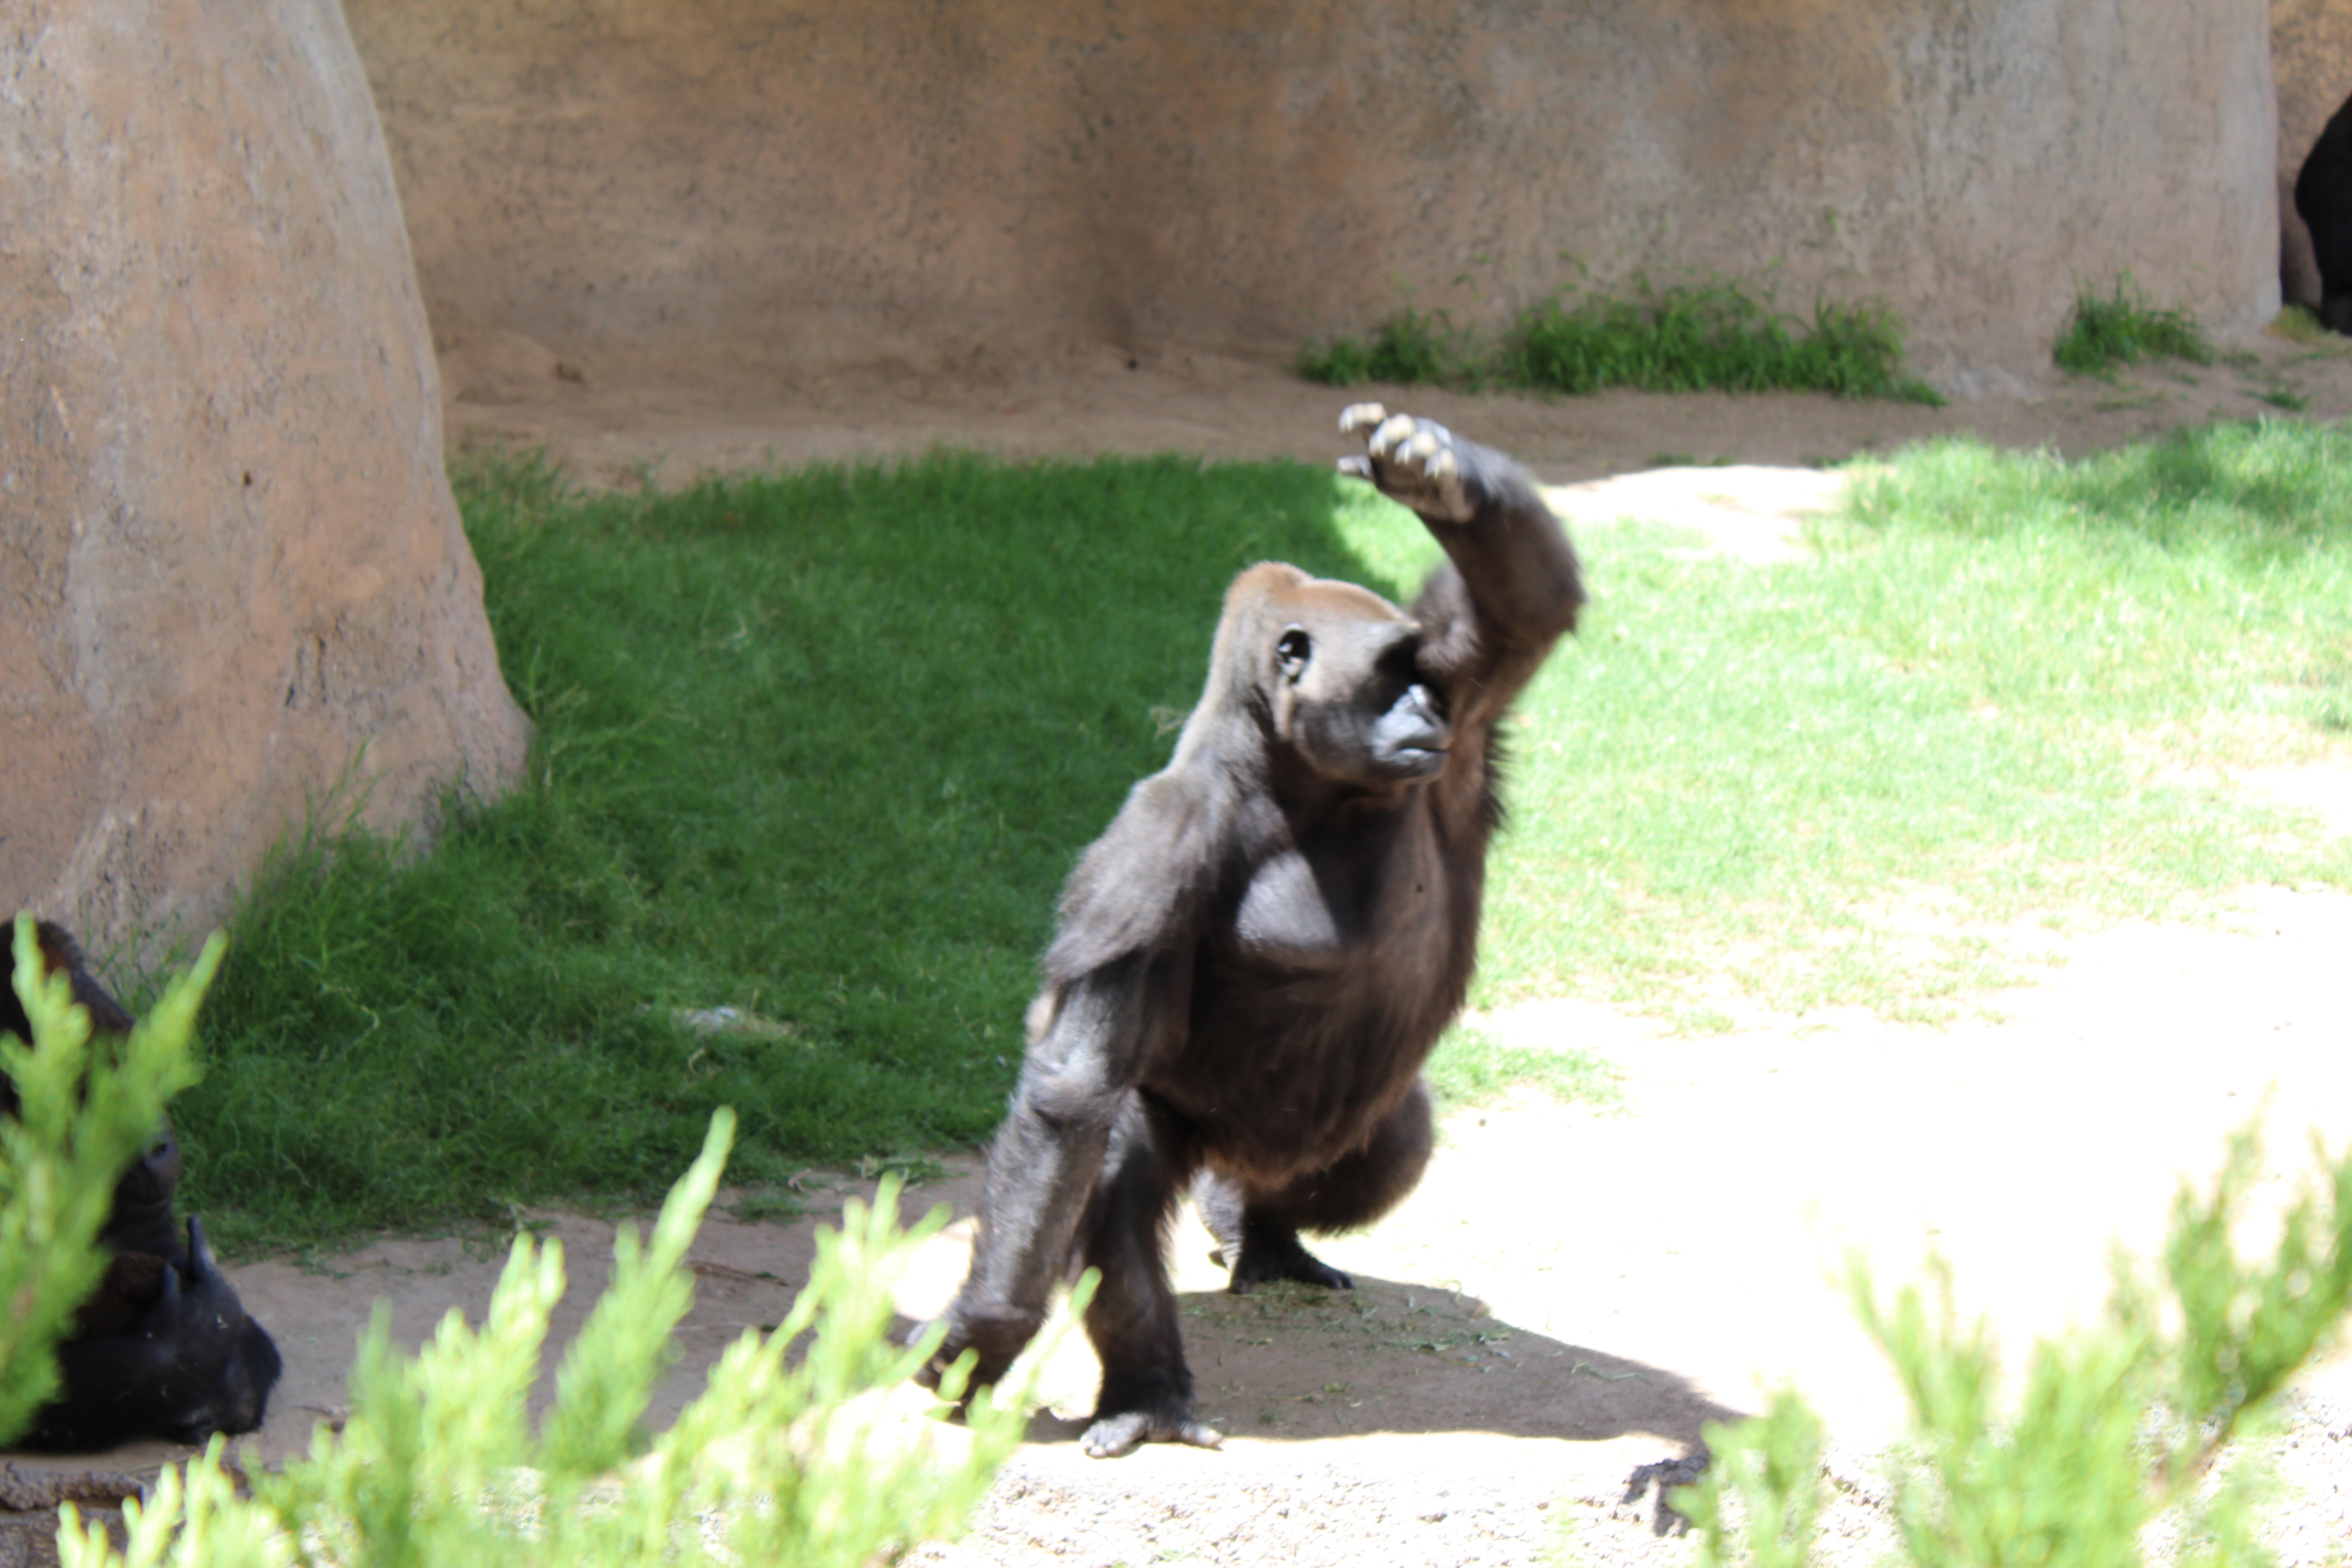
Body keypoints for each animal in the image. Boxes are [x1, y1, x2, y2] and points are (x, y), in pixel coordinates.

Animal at [912, 404, 1580, 1457]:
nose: (1422, 708)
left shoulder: (1466, 715)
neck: (1288, 769)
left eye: (1418, 673)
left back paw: (1255, 1224)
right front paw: (987, 1332)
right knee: (1110, 1167)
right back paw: (1147, 1386)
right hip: (1188, 1113)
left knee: (1387, 1150)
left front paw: (1438, 476)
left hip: (1319, 1139)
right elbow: (1072, 1092)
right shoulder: (1152, 843)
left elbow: (1527, 608)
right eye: (1386, 678)